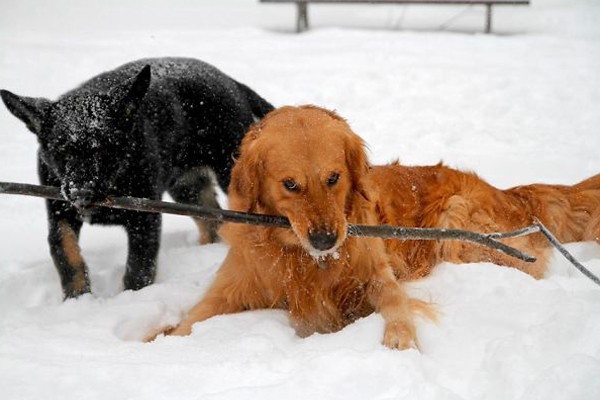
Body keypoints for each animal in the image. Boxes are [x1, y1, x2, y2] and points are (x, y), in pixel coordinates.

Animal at [1, 57, 274, 298]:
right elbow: (68, 258)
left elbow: (138, 268)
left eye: (104, 150)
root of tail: (230, 81)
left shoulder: (145, 219)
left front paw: (129, 299)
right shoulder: (60, 214)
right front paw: (77, 299)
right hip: (187, 187)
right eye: (60, 152)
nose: (82, 193)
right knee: (212, 220)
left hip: (230, 173)